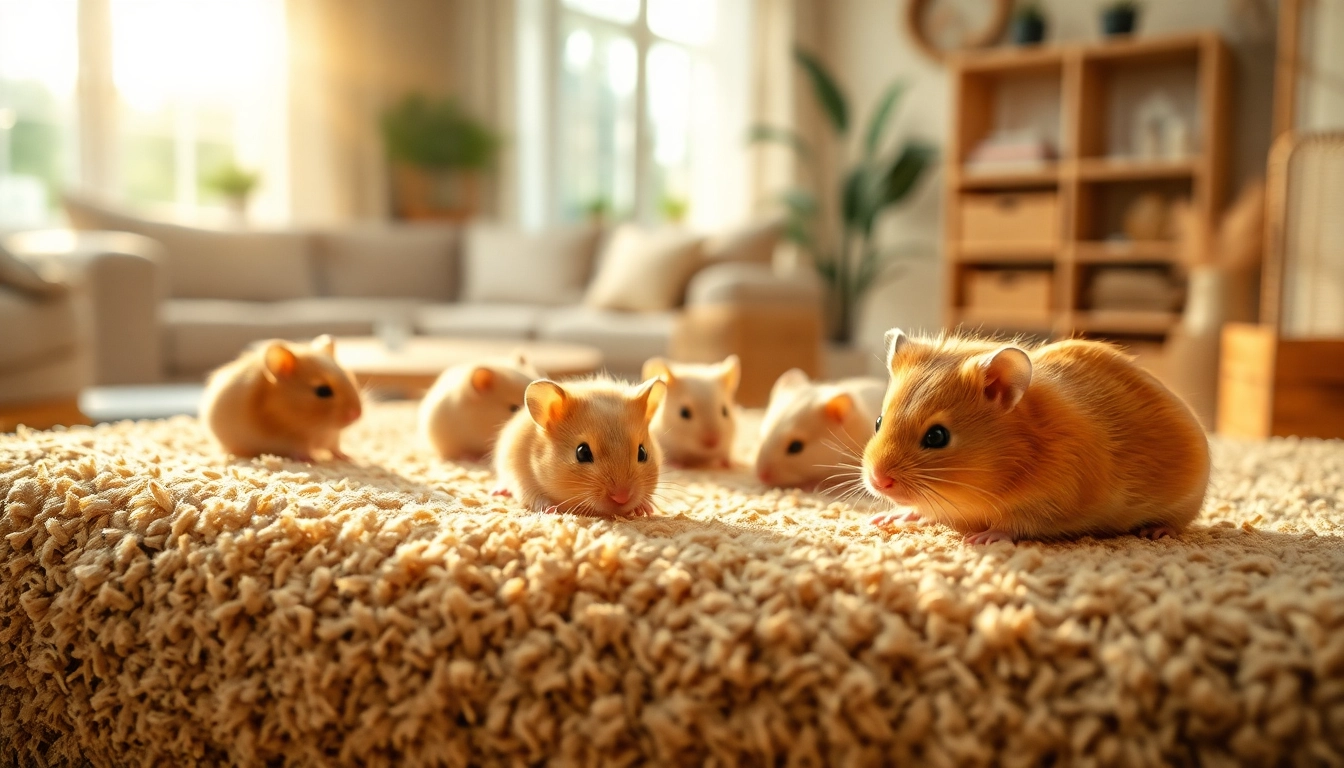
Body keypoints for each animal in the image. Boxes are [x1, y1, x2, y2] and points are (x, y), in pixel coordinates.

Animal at [200, 335, 363, 461]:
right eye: (322, 391)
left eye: (350, 378)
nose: (357, 415)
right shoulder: (291, 440)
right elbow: (301, 450)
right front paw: (311, 459)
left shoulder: (333, 436)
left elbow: (335, 448)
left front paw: (347, 457)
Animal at [492, 376, 666, 517]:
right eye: (582, 452)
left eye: (643, 453)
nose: (621, 497)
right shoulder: (522, 480)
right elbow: (538, 499)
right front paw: (552, 510)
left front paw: (645, 509)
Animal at [864, 329, 1210, 543]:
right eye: (878, 422)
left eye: (937, 436)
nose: (878, 481)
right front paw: (886, 518)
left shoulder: (1051, 501)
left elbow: (1013, 524)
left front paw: (982, 538)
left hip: (1187, 502)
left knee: (1178, 523)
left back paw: (1156, 532)